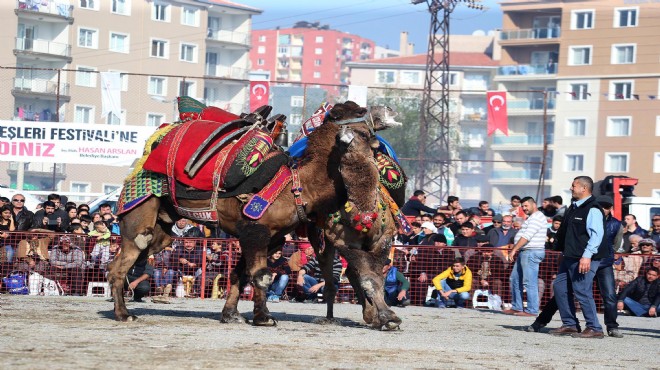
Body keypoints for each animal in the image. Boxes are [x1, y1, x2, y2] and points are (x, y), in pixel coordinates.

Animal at [107, 102, 394, 326]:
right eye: (358, 112)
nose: (388, 110)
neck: (297, 187)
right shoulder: (255, 228)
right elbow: (261, 276)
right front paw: (264, 317)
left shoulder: (268, 237)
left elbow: (241, 274)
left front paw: (232, 315)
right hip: (140, 213)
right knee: (120, 264)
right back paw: (123, 314)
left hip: (163, 227)